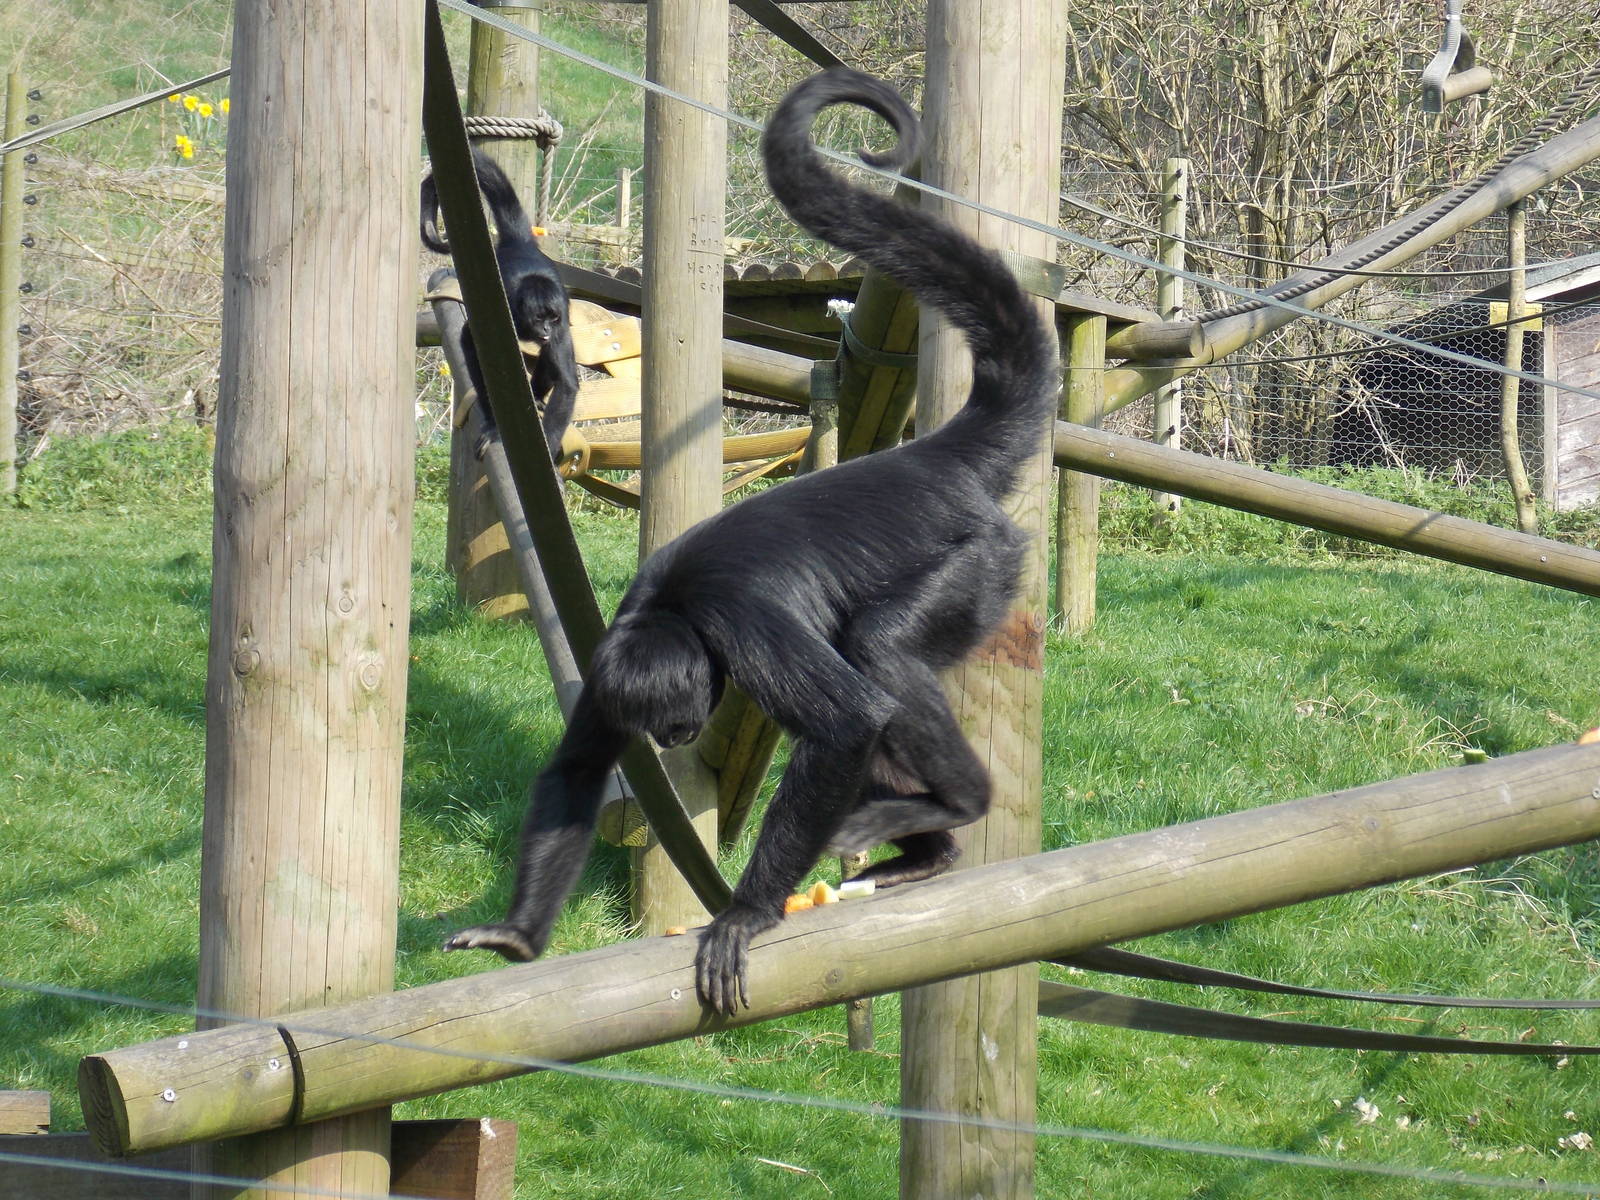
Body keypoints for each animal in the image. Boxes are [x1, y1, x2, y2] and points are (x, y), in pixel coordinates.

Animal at [421, 148, 579, 464]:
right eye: (539, 317)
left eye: (552, 318)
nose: (545, 329)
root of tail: (522, 245)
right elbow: (468, 341)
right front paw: (495, 426)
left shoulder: (562, 316)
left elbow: (567, 383)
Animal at [445, 68, 1060, 1016]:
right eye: (653, 720)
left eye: (676, 711)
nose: (669, 735)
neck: (675, 608)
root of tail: (927, 459)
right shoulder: (612, 655)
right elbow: (577, 768)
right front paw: (514, 933)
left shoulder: (739, 624)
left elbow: (849, 722)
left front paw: (744, 913)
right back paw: (930, 855)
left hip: (981, 559)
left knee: (880, 648)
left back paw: (957, 806)